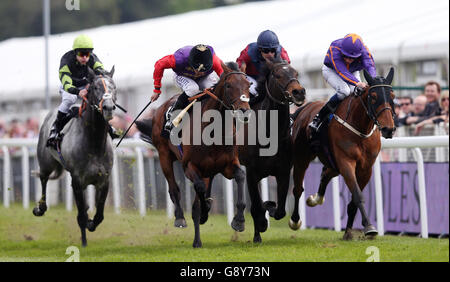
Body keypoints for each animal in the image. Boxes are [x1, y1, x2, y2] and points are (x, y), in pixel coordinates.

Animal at [33, 66, 118, 247]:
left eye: (114, 87)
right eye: (95, 87)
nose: (108, 107)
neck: (94, 143)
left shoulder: (103, 180)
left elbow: (99, 214)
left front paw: (91, 223)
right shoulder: (77, 181)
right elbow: (81, 216)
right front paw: (84, 242)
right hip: (46, 162)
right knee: (43, 178)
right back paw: (40, 208)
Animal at [135, 61, 251, 247]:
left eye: (249, 85)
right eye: (228, 85)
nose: (244, 111)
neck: (213, 131)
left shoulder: (227, 165)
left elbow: (240, 176)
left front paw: (239, 221)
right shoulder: (189, 166)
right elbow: (199, 192)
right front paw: (203, 213)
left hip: (208, 170)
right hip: (164, 155)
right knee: (174, 188)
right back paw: (182, 220)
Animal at [237, 57, 308, 242]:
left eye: (296, 73)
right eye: (277, 75)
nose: (299, 92)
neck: (270, 134)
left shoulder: (283, 171)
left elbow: (281, 210)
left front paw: (270, 206)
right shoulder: (251, 172)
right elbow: (255, 206)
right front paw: (262, 223)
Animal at [290, 67, 396, 239]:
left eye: (392, 96)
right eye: (373, 97)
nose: (388, 129)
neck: (360, 129)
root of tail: (305, 108)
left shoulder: (366, 168)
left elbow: (353, 200)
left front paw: (348, 232)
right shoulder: (346, 163)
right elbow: (358, 195)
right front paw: (369, 227)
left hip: (332, 162)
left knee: (325, 174)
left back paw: (315, 199)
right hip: (302, 158)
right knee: (298, 188)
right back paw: (294, 220)